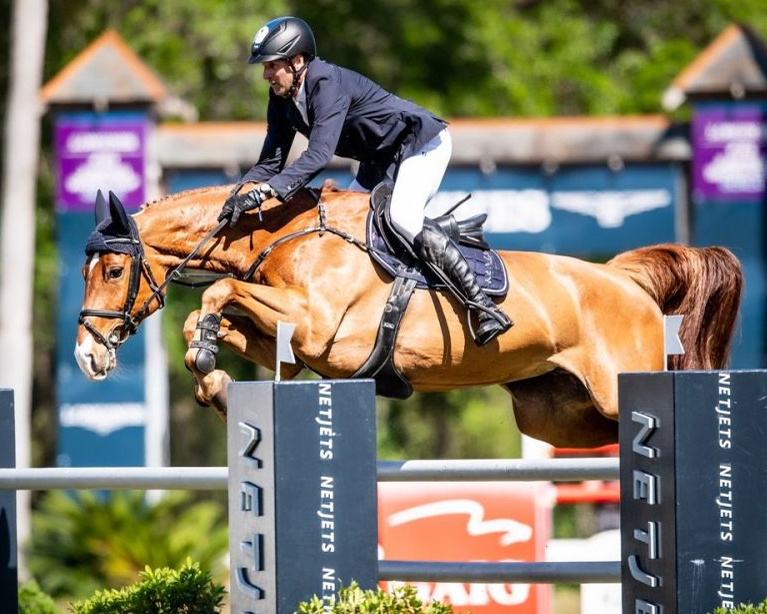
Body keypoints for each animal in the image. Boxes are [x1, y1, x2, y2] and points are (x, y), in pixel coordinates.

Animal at [74, 184, 743, 448]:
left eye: (114, 271)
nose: (88, 356)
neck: (286, 235)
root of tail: (625, 280)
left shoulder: (320, 328)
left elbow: (218, 292)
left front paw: (208, 364)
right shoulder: (292, 343)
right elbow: (213, 316)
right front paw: (211, 377)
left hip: (616, 387)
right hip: (557, 417)